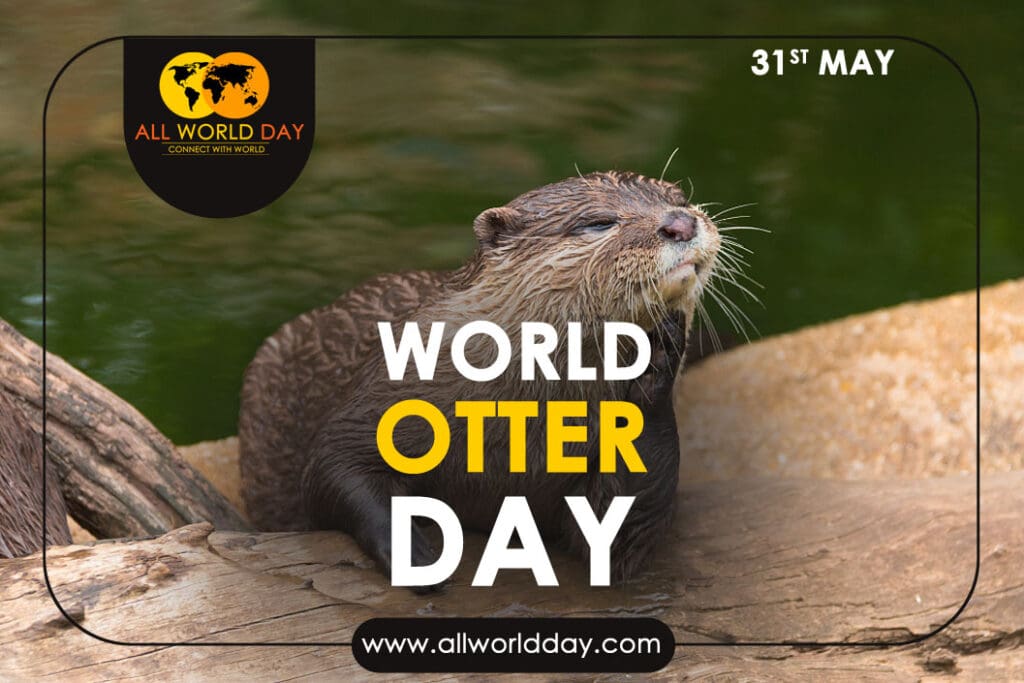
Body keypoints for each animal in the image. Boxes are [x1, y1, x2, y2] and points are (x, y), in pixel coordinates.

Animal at [239, 171, 721, 586]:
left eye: (680, 199)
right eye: (599, 222)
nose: (680, 223)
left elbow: (618, 535)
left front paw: (662, 348)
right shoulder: (379, 400)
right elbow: (333, 468)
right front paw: (416, 557)